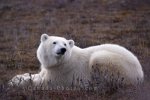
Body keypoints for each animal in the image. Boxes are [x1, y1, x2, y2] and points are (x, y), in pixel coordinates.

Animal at [8, 33, 144, 89]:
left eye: (65, 44)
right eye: (54, 42)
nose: (62, 49)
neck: (60, 61)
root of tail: (141, 73)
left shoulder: (63, 71)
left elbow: (44, 82)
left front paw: (17, 82)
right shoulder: (49, 68)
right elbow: (38, 74)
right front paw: (16, 77)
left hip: (118, 65)